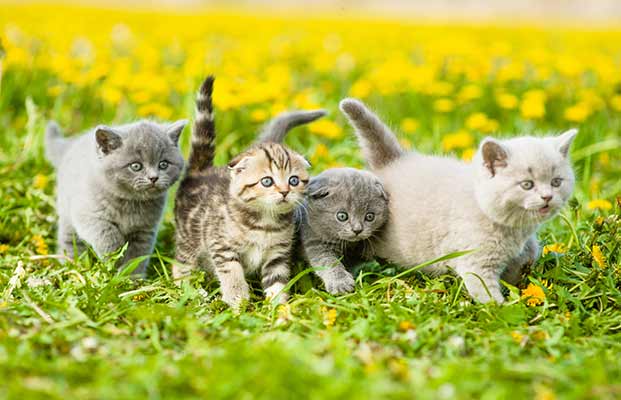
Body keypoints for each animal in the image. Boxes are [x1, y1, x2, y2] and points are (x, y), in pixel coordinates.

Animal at [44, 118, 186, 276]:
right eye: (136, 166)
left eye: (163, 164)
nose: (153, 178)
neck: (131, 203)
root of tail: (72, 145)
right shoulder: (87, 214)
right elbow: (105, 233)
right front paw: (115, 255)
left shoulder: (144, 231)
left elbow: (138, 255)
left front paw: (131, 277)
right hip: (66, 211)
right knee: (69, 240)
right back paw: (71, 264)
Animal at [172, 75, 322, 306]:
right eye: (267, 181)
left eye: (294, 180)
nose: (284, 192)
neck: (265, 223)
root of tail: (200, 171)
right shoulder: (222, 247)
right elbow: (232, 274)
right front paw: (238, 303)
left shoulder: (278, 254)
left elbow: (277, 281)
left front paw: (280, 308)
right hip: (188, 236)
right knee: (181, 264)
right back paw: (191, 291)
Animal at [260, 126, 388, 296]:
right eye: (342, 216)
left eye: (369, 217)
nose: (357, 230)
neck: (347, 245)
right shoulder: (314, 240)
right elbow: (327, 262)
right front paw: (341, 284)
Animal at [340, 97, 576, 304]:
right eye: (527, 184)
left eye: (556, 182)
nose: (547, 197)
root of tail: (391, 162)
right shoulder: (476, 262)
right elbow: (487, 294)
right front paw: (505, 310)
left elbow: (528, 256)